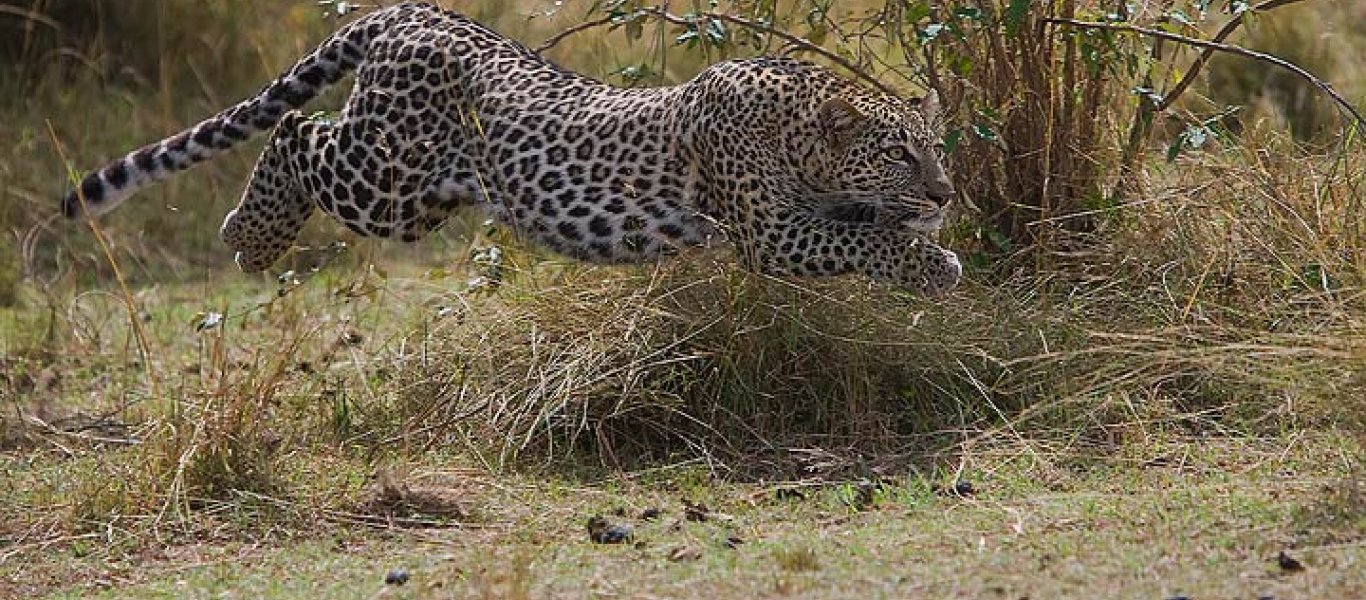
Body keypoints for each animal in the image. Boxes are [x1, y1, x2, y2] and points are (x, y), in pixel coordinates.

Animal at [61, 1, 961, 296]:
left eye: (935, 150)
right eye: (898, 153)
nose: (947, 196)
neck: (801, 125)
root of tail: (416, 13)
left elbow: (863, 228)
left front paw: (928, 246)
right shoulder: (770, 232)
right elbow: (859, 239)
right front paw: (933, 262)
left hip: (419, 202)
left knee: (298, 132)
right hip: (383, 180)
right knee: (296, 132)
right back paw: (250, 237)